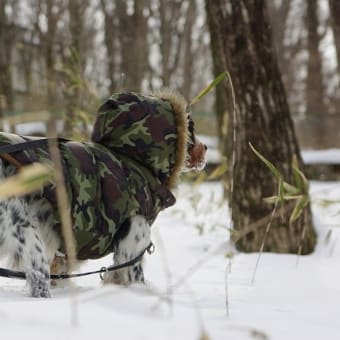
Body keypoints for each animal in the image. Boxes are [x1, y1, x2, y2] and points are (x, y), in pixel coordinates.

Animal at [0, 91, 206, 298]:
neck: (134, 161)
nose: (205, 148)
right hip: (29, 238)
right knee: (39, 279)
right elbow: (133, 276)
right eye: (191, 129)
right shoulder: (134, 238)